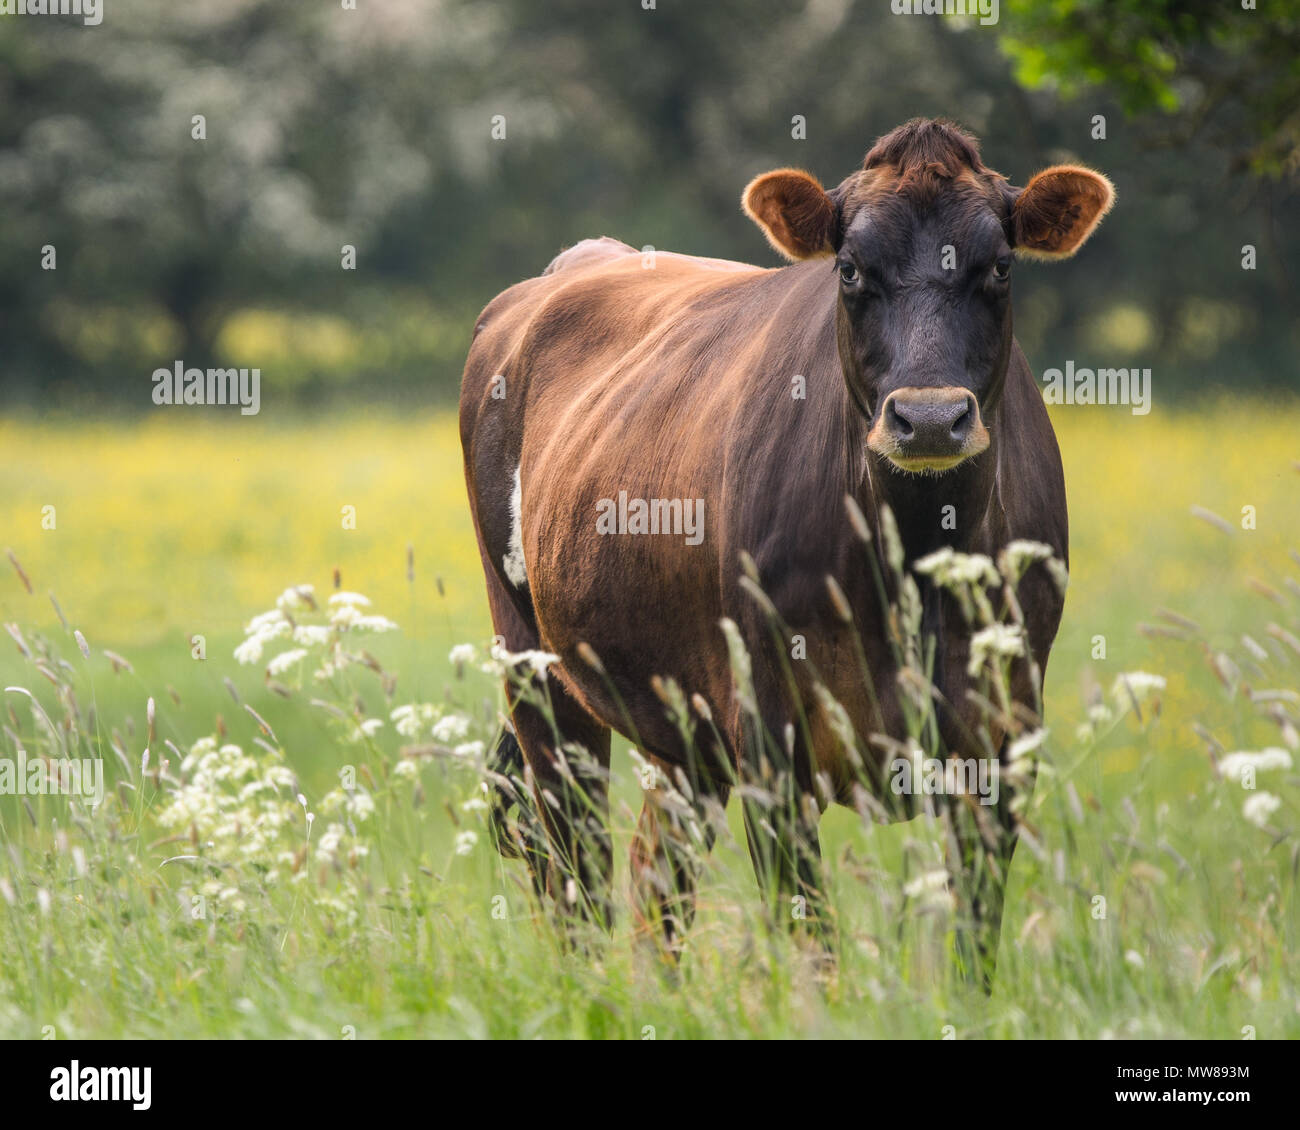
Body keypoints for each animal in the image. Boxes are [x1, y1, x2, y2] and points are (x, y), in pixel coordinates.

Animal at [457, 117, 1107, 977]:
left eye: (1000, 266)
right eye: (850, 268)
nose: (931, 419)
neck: (910, 558)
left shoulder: (1002, 738)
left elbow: (974, 941)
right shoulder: (770, 735)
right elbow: (812, 943)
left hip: (684, 724)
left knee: (655, 874)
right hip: (535, 664)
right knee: (571, 866)